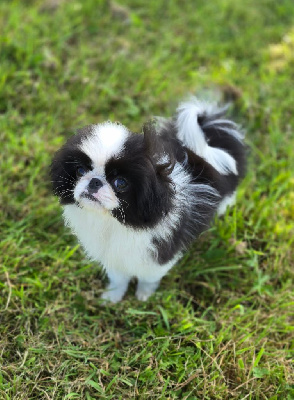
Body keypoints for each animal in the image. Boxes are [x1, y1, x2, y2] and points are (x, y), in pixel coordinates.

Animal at [50, 97, 246, 304]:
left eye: (120, 182)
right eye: (80, 171)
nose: (94, 181)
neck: (114, 220)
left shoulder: (157, 256)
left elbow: (148, 277)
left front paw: (144, 295)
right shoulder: (114, 254)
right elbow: (118, 278)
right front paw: (113, 297)